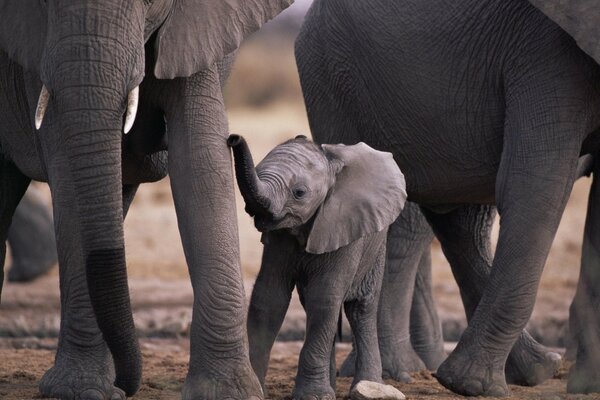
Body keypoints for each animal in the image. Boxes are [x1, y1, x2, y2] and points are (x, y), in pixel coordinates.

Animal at [0, 1, 290, 398]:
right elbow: (67, 168)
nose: (128, 385)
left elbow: (201, 160)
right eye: (41, 5)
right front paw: (77, 391)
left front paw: (228, 392)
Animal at [227, 135, 406, 400]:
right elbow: (268, 298)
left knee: (360, 308)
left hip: (376, 244)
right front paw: (256, 390)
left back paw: (369, 386)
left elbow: (324, 297)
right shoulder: (279, 239)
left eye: (299, 193)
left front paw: (313, 396)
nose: (233, 138)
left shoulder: (343, 225)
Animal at [294, 0, 600, 396]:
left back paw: (536, 369)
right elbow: (536, 182)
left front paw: (588, 382)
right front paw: (472, 386)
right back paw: (405, 376)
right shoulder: (546, 53)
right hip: (333, 78)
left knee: (458, 220)